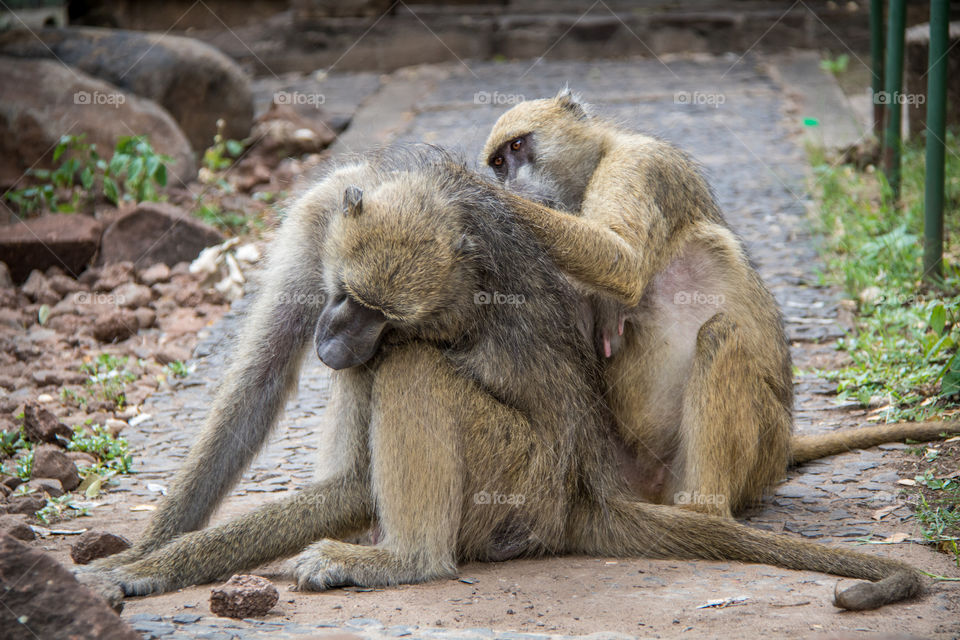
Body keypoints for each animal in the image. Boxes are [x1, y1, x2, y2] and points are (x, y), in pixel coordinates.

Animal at [80, 146, 925, 612]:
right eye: (350, 299)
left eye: (386, 316)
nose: (341, 341)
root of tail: (577, 497)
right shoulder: (319, 222)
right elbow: (252, 389)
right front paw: (148, 550)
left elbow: (369, 443)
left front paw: (145, 570)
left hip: (516, 484)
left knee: (412, 381)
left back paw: (402, 560)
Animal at [481, 90, 958, 517]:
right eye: (499, 164)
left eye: (518, 147)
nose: (509, 183)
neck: (596, 162)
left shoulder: (640, 165)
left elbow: (624, 264)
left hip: (759, 448)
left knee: (720, 333)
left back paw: (704, 512)